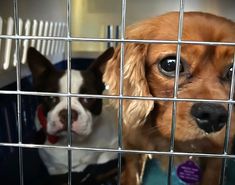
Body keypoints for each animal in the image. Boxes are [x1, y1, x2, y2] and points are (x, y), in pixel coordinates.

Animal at [103, 11, 235, 185]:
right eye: (170, 64)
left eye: (233, 71)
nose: (213, 115)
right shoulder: (132, 144)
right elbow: (132, 170)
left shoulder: (216, 158)